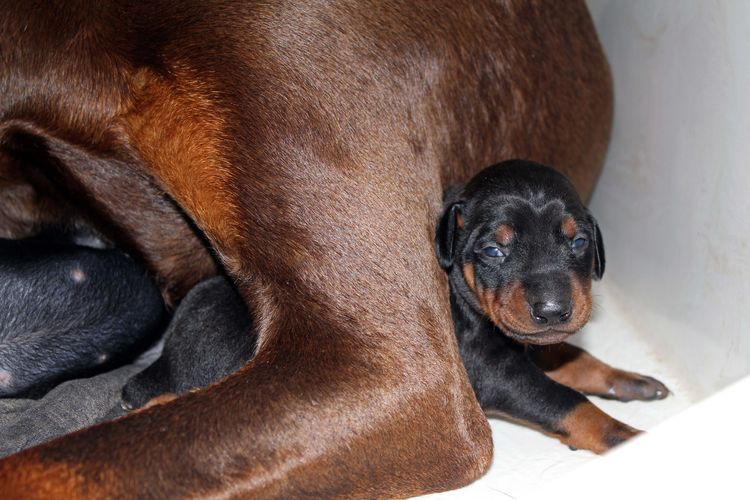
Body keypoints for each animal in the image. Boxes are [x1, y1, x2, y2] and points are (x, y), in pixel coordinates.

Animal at [434, 160, 668, 454]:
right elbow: (566, 400)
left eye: (579, 242)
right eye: (492, 250)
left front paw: (628, 379)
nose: (552, 311)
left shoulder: (534, 339)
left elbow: (576, 357)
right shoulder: (488, 368)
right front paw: (630, 439)